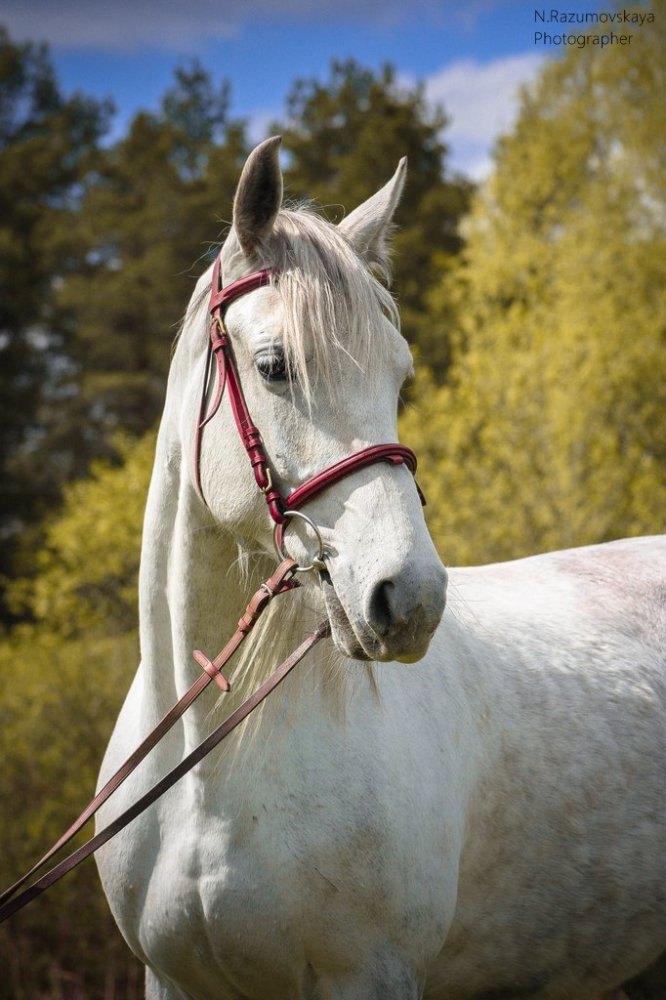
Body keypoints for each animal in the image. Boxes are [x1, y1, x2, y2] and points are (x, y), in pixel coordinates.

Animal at [96, 137, 660, 996]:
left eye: (400, 375)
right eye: (274, 366)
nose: (412, 600)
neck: (210, 776)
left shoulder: (369, 974)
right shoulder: (173, 978)